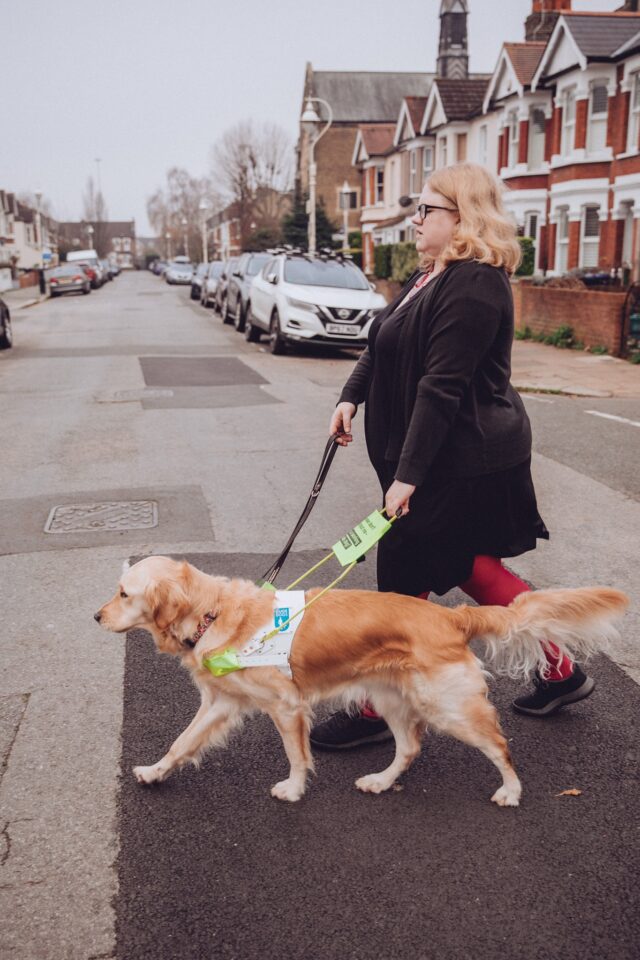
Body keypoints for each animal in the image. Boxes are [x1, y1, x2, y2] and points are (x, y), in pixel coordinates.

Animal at [94, 560, 624, 808]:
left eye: (123, 593)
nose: (96, 616)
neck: (214, 613)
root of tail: (451, 616)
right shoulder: (221, 703)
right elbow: (181, 742)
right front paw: (154, 772)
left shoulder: (287, 706)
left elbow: (295, 755)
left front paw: (293, 789)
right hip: (391, 698)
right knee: (409, 747)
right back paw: (381, 781)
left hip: (447, 704)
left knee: (498, 744)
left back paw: (511, 791)